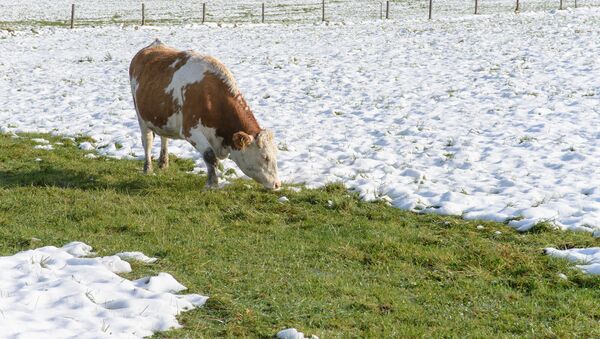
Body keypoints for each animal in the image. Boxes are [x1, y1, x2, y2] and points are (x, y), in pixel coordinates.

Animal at [129, 39, 282, 191]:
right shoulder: (190, 131)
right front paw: (212, 184)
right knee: (147, 140)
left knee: (164, 138)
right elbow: (209, 155)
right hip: (140, 115)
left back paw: (163, 163)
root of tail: (154, 44)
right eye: (265, 157)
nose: (277, 184)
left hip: (161, 116)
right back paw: (148, 169)